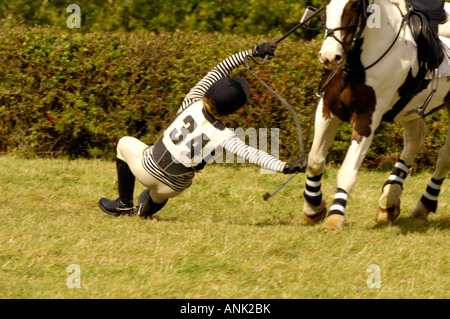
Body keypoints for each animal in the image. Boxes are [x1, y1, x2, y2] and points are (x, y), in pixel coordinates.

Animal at [302, 0, 450, 230]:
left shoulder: (366, 118)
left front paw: (335, 217)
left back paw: (423, 206)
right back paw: (390, 199)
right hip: (407, 110)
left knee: (444, 157)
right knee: (416, 137)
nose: (330, 57)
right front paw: (313, 208)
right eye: (326, 3)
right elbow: (315, 159)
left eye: (354, 5)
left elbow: (347, 170)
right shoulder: (327, 110)